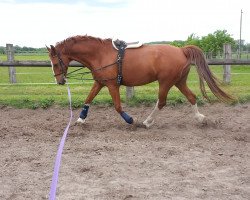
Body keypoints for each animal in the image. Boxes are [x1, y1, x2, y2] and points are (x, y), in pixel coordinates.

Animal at [46, 35, 232, 127]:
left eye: (55, 62)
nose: (60, 81)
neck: (100, 54)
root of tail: (181, 50)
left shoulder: (112, 85)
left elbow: (117, 106)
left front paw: (130, 120)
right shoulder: (100, 82)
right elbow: (88, 99)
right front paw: (80, 119)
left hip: (165, 82)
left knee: (161, 102)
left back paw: (147, 122)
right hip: (178, 82)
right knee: (191, 97)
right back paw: (201, 119)